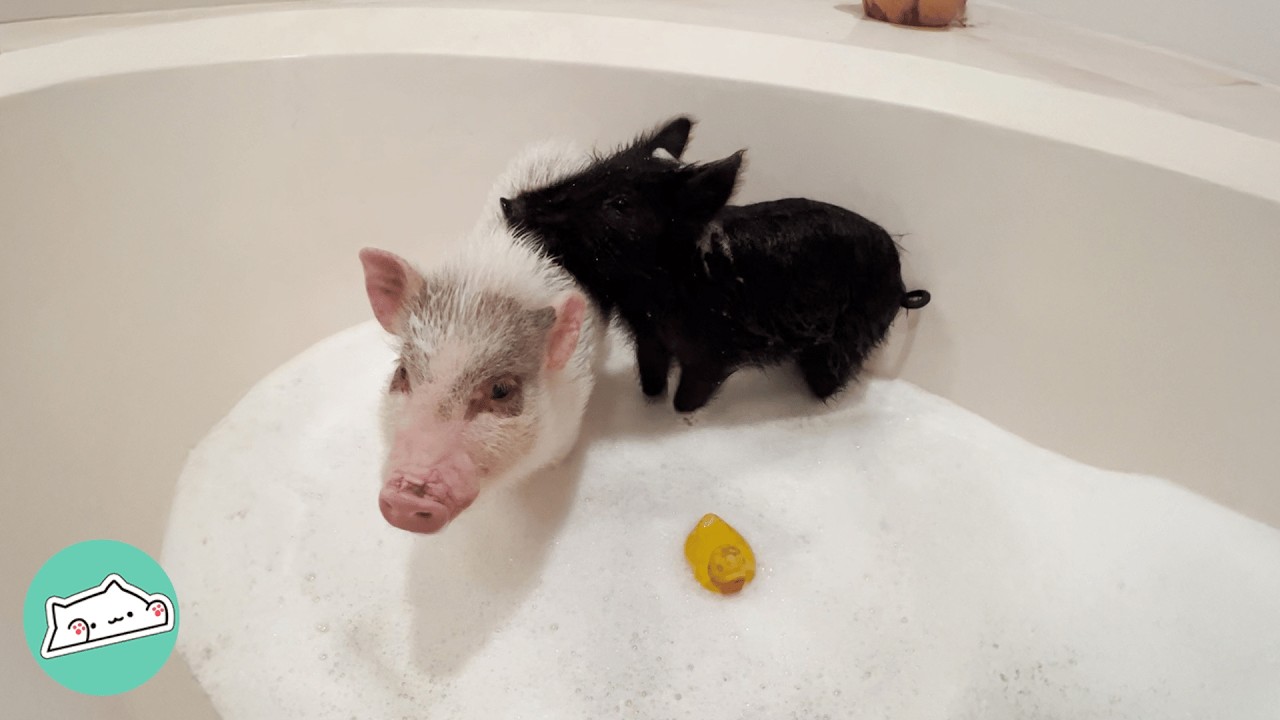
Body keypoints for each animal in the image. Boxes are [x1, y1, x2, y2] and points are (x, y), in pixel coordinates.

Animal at [500, 116, 930, 413]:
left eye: (619, 205)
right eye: (590, 169)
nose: (508, 203)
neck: (656, 293)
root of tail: (902, 288)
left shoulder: (712, 354)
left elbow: (686, 399)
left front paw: (680, 414)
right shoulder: (649, 339)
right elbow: (650, 383)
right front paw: (650, 403)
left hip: (843, 344)